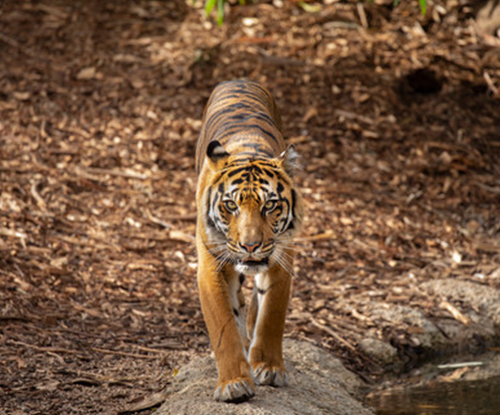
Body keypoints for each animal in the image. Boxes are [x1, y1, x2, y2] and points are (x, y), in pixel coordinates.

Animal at [196, 79, 304, 404]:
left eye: (270, 205)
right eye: (231, 205)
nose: (250, 246)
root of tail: (239, 79)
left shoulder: (282, 258)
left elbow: (271, 314)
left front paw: (268, 367)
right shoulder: (210, 264)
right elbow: (223, 325)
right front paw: (233, 383)